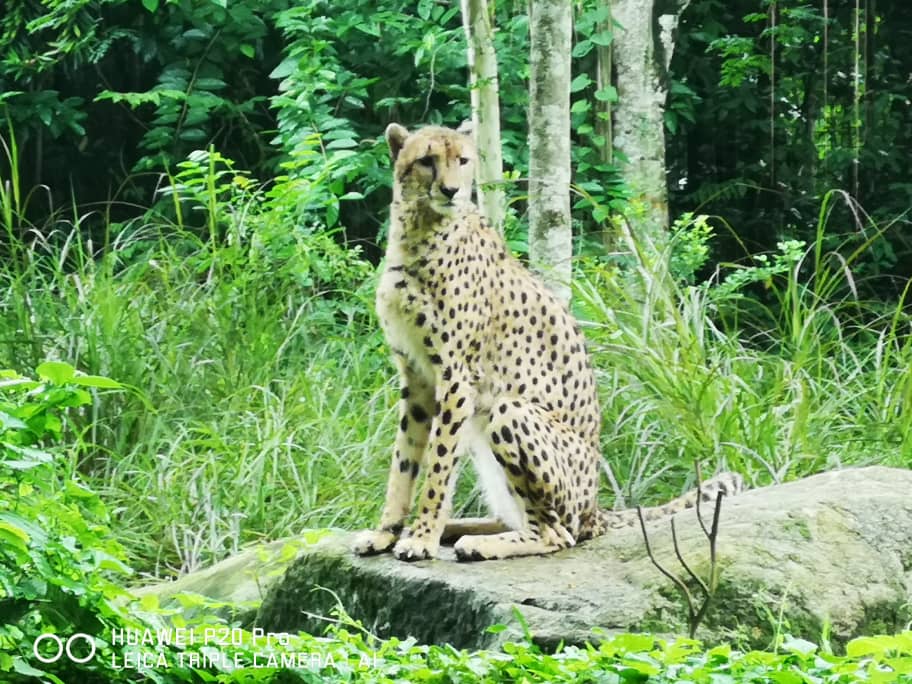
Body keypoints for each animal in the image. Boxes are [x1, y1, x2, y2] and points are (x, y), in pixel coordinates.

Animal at [352, 122, 743, 562]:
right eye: (426, 161)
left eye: (463, 160)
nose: (451, 190)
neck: (419, 228)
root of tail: (595, 509)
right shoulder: (417, 376)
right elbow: (404, 461)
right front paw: (386, 532)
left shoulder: (456, 377)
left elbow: (437, 463)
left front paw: (420, 537)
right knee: (519, 519)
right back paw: (459, 528)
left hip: (509, 412)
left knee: (556, 534)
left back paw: (476, 542)